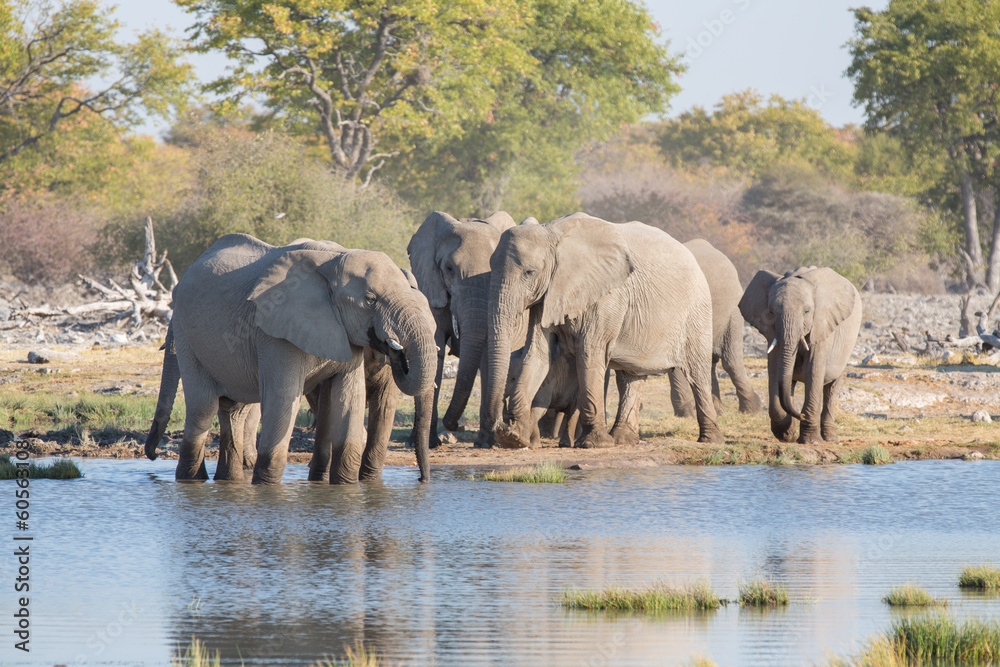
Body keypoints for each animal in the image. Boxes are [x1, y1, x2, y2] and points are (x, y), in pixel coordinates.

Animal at [143, 233, 437, 484]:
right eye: (370, 300)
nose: (395, 348)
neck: (335, 260)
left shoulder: (346, 335)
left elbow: (348, 398)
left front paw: (343, 487)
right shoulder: (274, 330)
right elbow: (283, 398)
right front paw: (267, 488)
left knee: (232, 410)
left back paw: (228, 481)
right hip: (187, 335)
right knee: (203, 408)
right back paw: (191, 481)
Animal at [407, 210, 527, 448]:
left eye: (496, 270)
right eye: (449, 269)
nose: (453, 425)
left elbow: (487, 355)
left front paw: (486, 442)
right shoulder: (432, 288)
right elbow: (435, 349)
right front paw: (428, 443)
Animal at [484, 212, 723, 449]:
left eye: (529, 272)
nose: (500, 425)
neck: (552, 233)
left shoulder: (608, 297)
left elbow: (589, 353)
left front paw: (594, 443)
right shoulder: (548, 294)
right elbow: (537, 353)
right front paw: (514, 437)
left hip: (697, 312)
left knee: (697, 373)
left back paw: (710, 440)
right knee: (631, 376)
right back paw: (623, 440)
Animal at [738, 266, 862, 444]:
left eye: (807, 311)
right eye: (771, 312)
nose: (801, 415)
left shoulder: (822, 325)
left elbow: (813, 370)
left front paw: (811, 441)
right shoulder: (772, 331)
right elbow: (774, 369)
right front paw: (786, 434)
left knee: (831, 387)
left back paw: (830, 438)